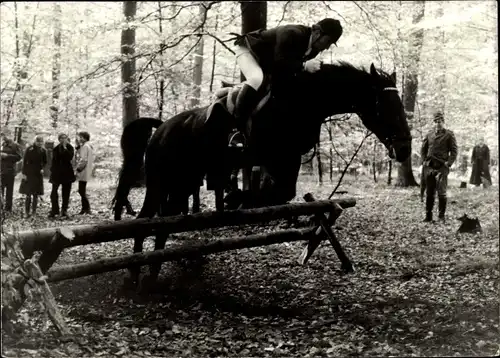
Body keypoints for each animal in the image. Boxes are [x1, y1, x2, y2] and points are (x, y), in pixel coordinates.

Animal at [115, 60, 412, 286]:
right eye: (384, 105)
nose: (404, 149)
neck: (302, 102)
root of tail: (162, 127)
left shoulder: (287, 159)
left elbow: (282, 193)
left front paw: (236, 198)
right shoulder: (272, 157)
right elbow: (276, 193)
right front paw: (235, 198)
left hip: (181, 184)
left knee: (162, 222)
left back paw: (149, 272)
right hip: (162, 182)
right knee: (146, 220)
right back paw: (135, 273)